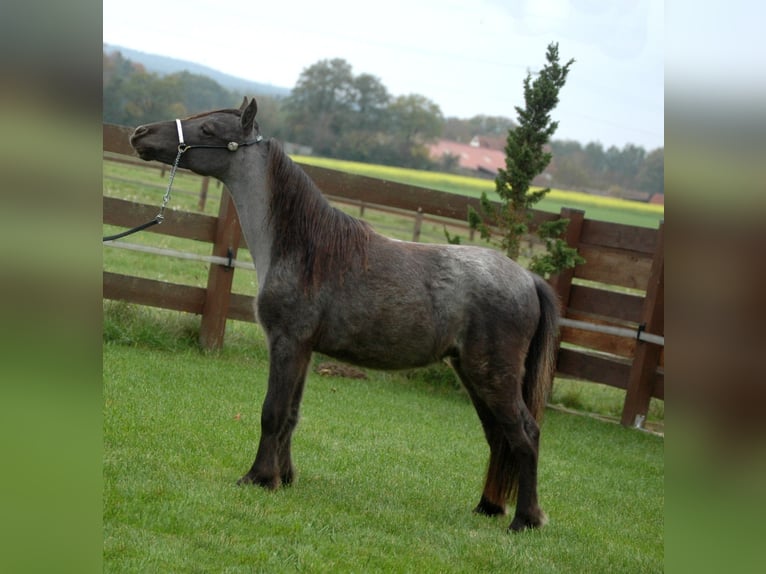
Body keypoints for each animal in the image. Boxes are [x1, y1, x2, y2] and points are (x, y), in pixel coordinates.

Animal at [132, 97, 560, 532]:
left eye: (208, 130)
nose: (139, 134)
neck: (303, 248)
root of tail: (527, 279)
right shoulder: (304, 351)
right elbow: (291, 415)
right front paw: (284, 477)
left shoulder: (287, 343)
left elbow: (272, 411)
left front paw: (258, 478)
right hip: (474, 375)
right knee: (498, 437)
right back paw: (488, 507)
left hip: (493, 376)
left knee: (525, 434)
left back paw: (525, 519)